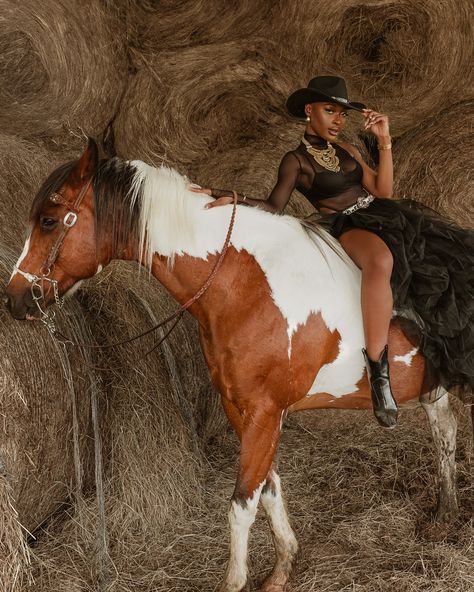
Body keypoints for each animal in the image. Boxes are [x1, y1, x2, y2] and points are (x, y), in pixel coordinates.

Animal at [4, 141, 460, 588]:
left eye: (48, 221)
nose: (14, 299)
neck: (246, 281)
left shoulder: (265, 412)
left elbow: (242, 503)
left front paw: (237, 579)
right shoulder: (241, 409)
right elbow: (268, 487)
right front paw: (281, 568)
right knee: (444, 428)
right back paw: (443, 516)